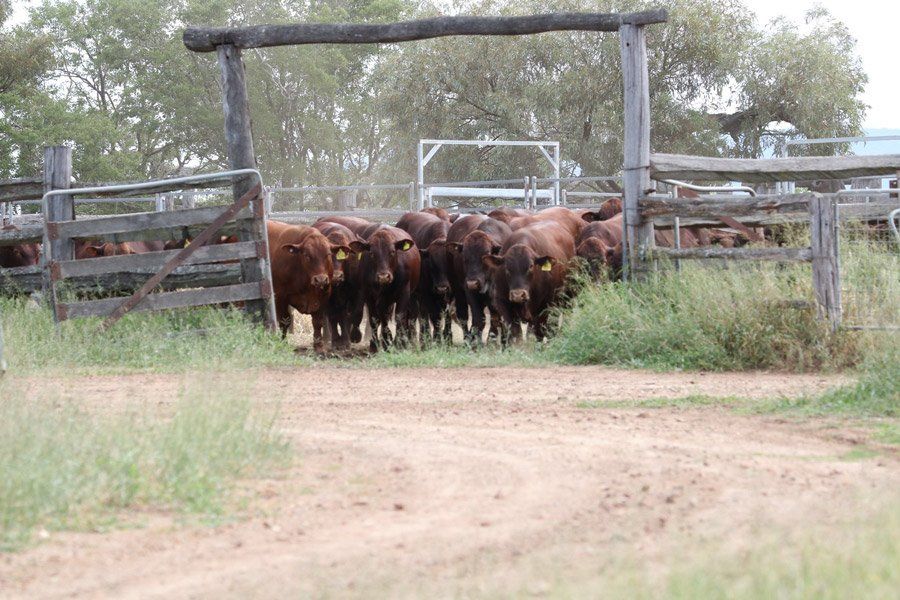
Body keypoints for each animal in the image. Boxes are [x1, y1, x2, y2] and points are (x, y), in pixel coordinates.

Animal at [268, 220, 352, 349]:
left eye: (328, 254)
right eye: (307, 256)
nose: (320, 280)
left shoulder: (323, 296)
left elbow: (318, 322)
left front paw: (318, 346)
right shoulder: (280, 297)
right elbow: (284, 320)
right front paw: (283, 342)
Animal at [312, 221, 369, 350]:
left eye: (346, 254)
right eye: (327, 255)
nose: (336, 276)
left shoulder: (357, 293)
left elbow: (354, 314)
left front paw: (353, 337)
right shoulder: (330, 299)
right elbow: (334, 317)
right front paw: (337, 341)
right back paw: (329, 338)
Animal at [396, 212, 453, 342]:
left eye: (449, 261)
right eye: (431, 263)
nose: (442, 288)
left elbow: (448, 316)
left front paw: (448, 338)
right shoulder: (427, 294)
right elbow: (435, 317)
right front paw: (436, 338)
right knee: (416, 314)